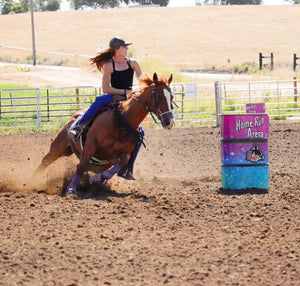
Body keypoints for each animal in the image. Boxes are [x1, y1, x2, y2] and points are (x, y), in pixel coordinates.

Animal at [32, 72, 173, 196]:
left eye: (171, 97)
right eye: (159, 96)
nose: (170, 122)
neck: (122, 121)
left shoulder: (121, 155)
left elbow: (122, 162)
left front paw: (97, 179)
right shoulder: (89, 148)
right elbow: (80, 167)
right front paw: (71, 189)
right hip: (58, 148)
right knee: (46, 162)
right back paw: (33, 180)